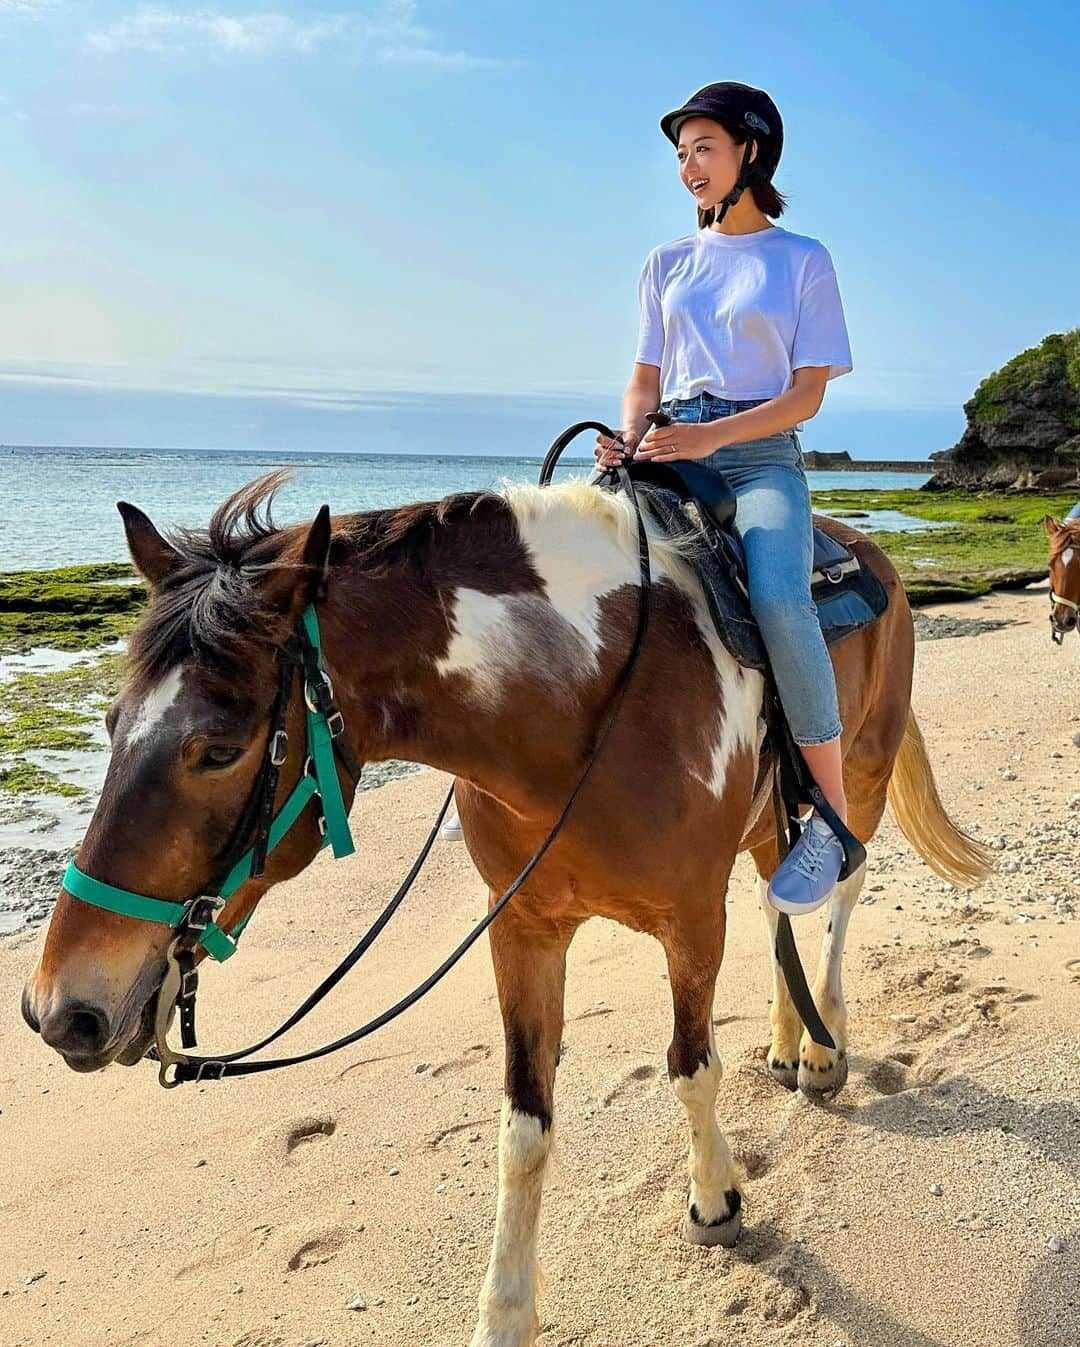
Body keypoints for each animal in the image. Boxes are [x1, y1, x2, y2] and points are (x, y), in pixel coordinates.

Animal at [23, 474, 985, 1347]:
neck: (588, 707)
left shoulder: (691, 920)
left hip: (858, 773)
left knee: (840, 890)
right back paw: (792, 1038)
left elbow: (690, 1068)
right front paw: (506, 1311)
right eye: (110, 722)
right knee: (777, 894)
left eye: (219, 748)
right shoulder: (522, 928)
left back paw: (823, 1046)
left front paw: (714, 1198)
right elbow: (524, 1124)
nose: (57, 1009)